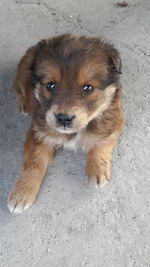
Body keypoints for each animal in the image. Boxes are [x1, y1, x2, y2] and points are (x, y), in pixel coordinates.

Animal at [7, 34, 123, 215]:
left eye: (88, 88)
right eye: (51, 85)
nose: (63, 118)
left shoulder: (113, 121)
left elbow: (100, 144)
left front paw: (97, 169)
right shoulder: (39, 134)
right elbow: (33, 163)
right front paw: (22, 194)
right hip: (21, 76)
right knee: (18, 89)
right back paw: (23, 104)